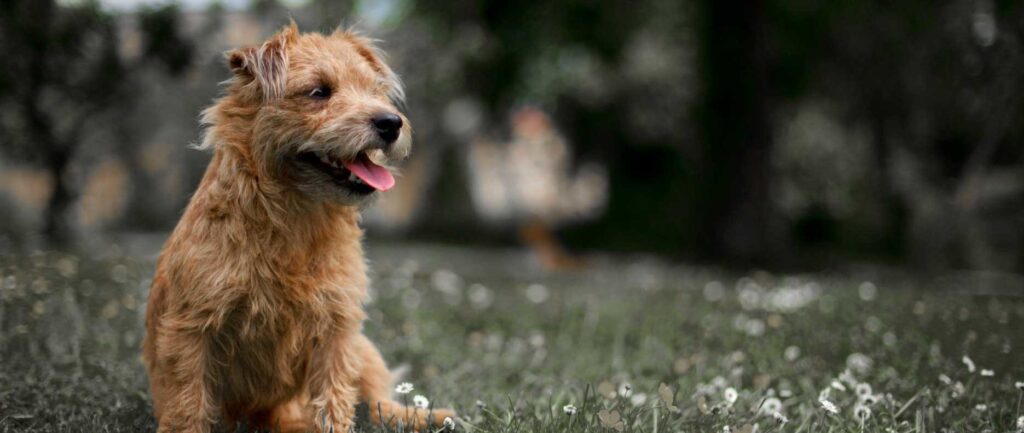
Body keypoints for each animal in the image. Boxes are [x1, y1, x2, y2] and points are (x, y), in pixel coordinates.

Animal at [142, 22, 455, 433]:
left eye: (375, 90)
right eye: (319, 91)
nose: (391, 123)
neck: (294, 219)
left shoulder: (337, 328)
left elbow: (336, 398)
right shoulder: (191, 329)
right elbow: (188, 404)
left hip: (363, 347)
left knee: (377, 402)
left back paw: (426, 415)